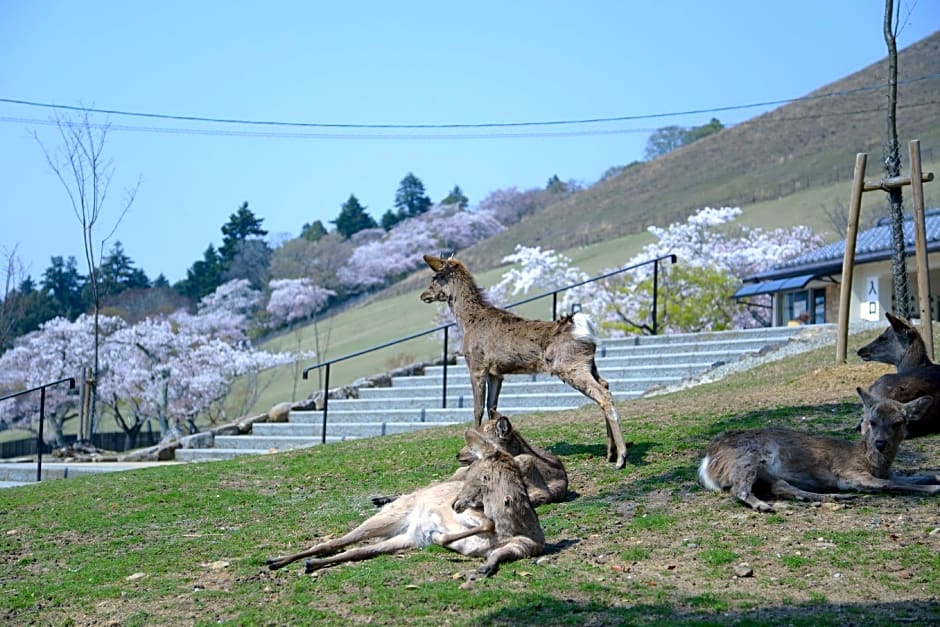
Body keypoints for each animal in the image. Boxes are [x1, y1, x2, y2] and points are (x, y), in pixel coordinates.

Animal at [264, 430, 544, 576]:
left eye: (472, 474)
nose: (454, 503)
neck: (512, 526)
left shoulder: (526, 546)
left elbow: (497, 551)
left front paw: (484, 567)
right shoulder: (472, 515)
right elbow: (484, 523)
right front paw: (440, 536)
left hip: (404, 538)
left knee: (356, 551)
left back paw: (305, 564)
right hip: (389, 516)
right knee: (334, 542)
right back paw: (276, 560)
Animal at [420, 253, 632, 468]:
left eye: (436, 277)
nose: (423, 295)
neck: (467, 323)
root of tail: (585, 328)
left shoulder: (476, 365)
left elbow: (477, 409)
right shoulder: (496, 373)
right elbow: (491, 407)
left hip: (571, 365)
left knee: (603, 394)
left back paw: (621, 457)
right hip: (589, 364)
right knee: (605, 384)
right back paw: (610, 452)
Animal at [696, 388, 940, 516]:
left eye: (898, 423)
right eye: (871, 421)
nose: (880, 443)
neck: (872, 463)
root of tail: (708, 460)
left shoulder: (888, 472)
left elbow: (913, 476)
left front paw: (935, 477)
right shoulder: (850, 474)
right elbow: (889, 484)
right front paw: (933, 488)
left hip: (764, 471)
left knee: (781, 487)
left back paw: (834, 497)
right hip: (746, 459)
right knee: (739, 489)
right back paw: (764, 506)